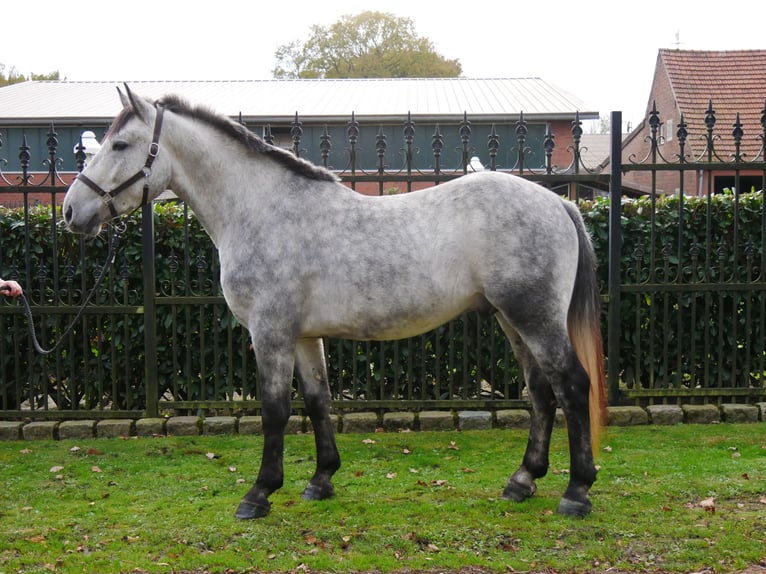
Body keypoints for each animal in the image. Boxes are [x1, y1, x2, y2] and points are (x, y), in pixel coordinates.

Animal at [63, 85, 608, 520]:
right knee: (541, 392)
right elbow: (317, 401)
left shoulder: (270, 333)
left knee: (572, 386)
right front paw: (321, 480)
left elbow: (275, 410)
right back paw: (522, 481)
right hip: (511, 320)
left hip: (534, 318)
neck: (263, 210)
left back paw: (577, 492)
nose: (71, 211)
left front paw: (259, 493)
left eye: (120, 144)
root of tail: (558, 202)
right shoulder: (304, 336)